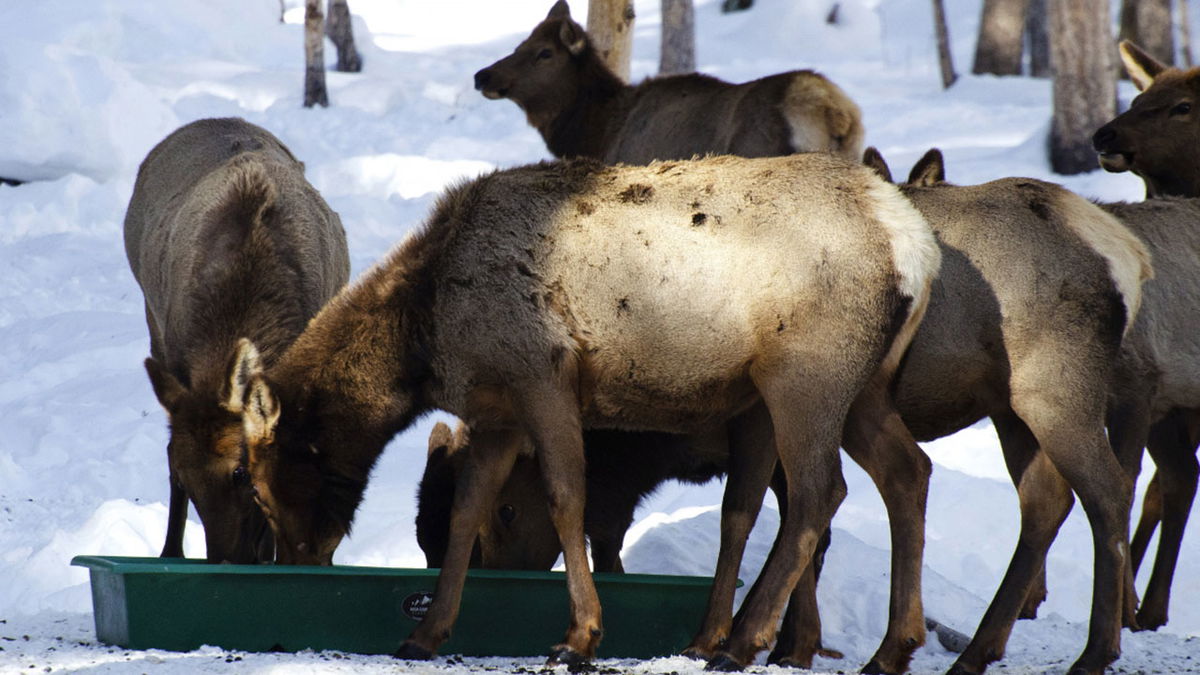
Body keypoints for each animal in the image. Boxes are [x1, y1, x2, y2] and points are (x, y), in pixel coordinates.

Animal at [225, 154, 936, 667]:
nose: (293, 566)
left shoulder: (543, 375)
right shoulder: (497, 412)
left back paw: (741, 644)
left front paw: (579, 636)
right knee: (908, 471)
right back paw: (888, 649)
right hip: (864, 387)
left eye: (255, 486)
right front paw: (427, 635)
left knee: (820, 493)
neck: (427, 344)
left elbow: (568, 499)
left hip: (807, 375)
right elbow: (467, 511)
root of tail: (915, 248)